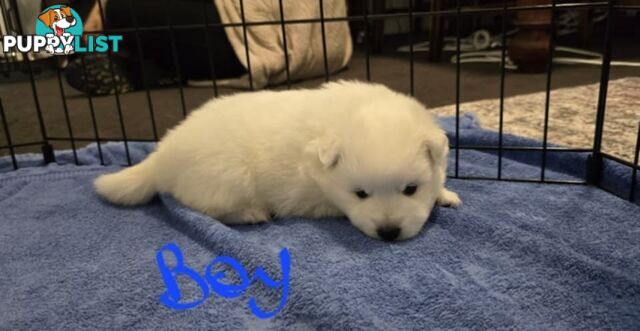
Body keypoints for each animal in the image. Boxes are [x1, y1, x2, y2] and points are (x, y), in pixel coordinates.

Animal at [94, 80, 460, 241]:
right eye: (360, 194)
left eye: (411, 189)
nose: (388, 232)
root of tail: (163, 154)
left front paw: (446, 195)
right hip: (227, 179)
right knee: (205, 207)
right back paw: (252, 213)